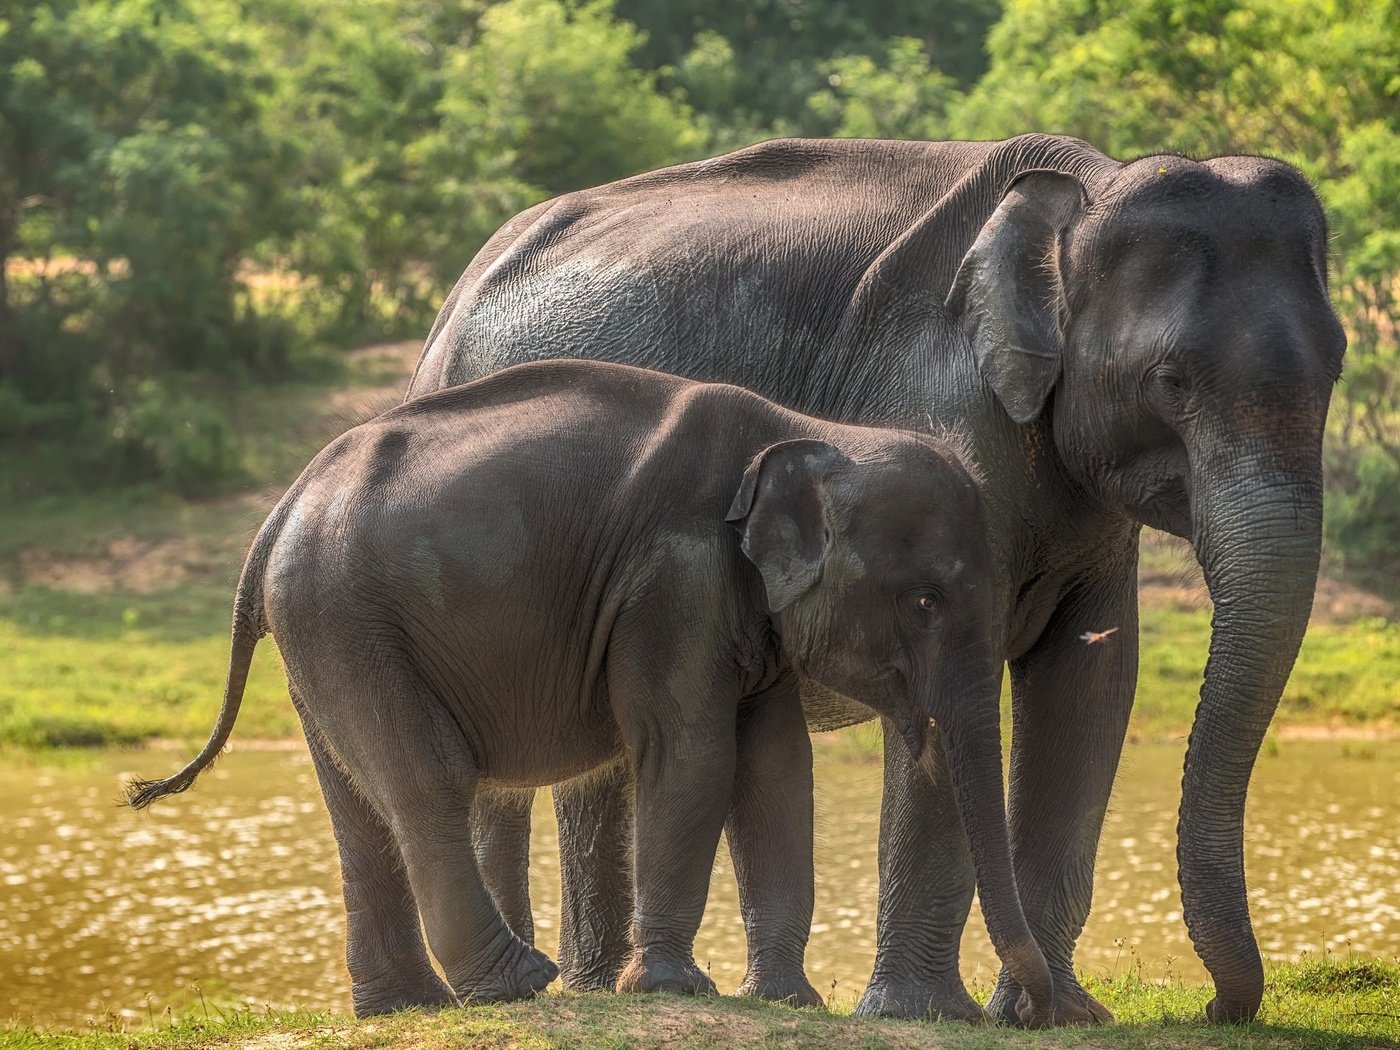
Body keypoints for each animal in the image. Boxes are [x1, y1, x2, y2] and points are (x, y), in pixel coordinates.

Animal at [128, 361, 1052, 1019]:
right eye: (926, 602)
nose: (1031, 1012)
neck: (812, 433)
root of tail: (278, 513)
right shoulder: (673, 578)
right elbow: (693, 752)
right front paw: (675, 990)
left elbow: (775, 768)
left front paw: (784, 1001)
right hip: (346, 618)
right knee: (427, 781)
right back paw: (516, 984)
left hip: (318, 635)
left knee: (359, 805)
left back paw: (406, 1007)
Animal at [406, 133, 1344, 1030]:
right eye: (1171, 381)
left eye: (1336, 366)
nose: (1215, 1008)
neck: (1087, 186)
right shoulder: (940, 410)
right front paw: (928, 1013)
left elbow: (1090, 683)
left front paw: (1061, 1015)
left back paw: (598, 987)